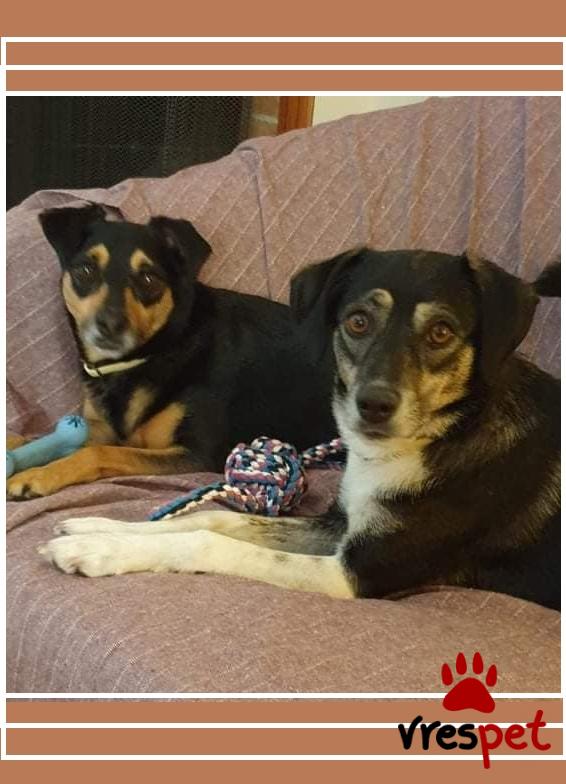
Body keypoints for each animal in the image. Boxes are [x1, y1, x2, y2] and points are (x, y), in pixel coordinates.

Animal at [7, 205, 336, 500]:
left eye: (149, 279)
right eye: (86, 271)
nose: (110, 325)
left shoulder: (196, 454)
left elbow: (100, 453)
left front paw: (37, 476)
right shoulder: (100, 428)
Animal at [40, 248, 560, 611]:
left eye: (441, 332)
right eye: (357, 321)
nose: (371, 406)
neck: (436, 436)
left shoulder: (356, 573)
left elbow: (215, 542)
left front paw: (95, 550)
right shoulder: (341, 525)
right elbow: (216, 518)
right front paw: (100, 528)